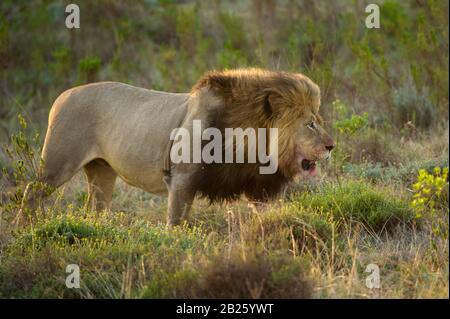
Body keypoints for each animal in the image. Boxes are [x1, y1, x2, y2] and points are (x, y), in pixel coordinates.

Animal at [20, 68, 334, 226]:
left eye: (318, 121)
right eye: (310, 125)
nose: (332, 146)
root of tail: (63, 95)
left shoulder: (259, 189)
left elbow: (268, 220)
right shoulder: (181, 180)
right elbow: (176, 223)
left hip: (101, 171)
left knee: (95, 207)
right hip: (57, 165)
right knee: (30, 192)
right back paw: (25, 229)